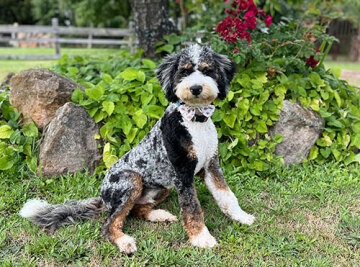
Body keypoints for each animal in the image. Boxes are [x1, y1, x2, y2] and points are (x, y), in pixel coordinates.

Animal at [19, 44, 255, 255]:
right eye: (184, 71)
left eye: (207, 70)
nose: (195, 88)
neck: (195, 120)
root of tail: (103, 197)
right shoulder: (183, 174)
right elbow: (193, 209)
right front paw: (201, 238)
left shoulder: (211, 166)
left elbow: (227, 195)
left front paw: (241, 217)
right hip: (132, 181)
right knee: (110, 223)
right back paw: (124, 242)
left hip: (163, 185)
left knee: (138, 210)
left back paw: (160, 215)